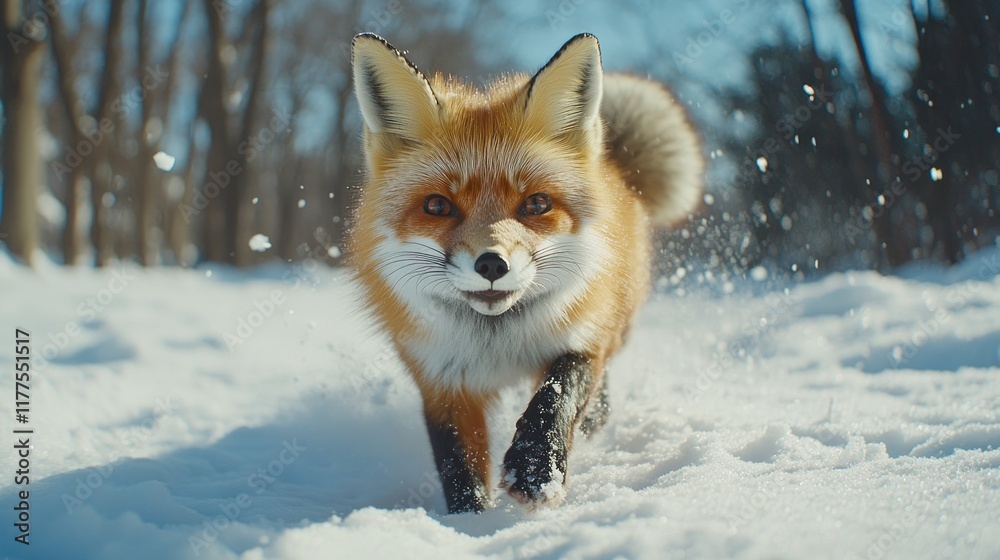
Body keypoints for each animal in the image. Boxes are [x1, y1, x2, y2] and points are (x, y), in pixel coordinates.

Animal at [348, 32, 703, 514]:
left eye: (536, 204)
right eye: (438, 206)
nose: (491, 264)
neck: (498, 343)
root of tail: (615, 166)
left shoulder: (582, 336)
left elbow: (558, 392)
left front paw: (536, 467)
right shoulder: (441, 381)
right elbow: (457, 464)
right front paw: (470, 520)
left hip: (617, 322)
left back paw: (594, 419)